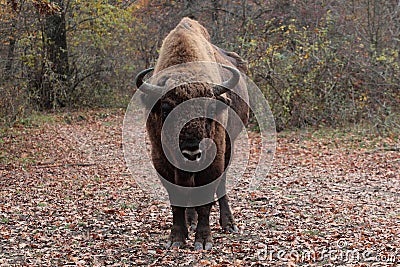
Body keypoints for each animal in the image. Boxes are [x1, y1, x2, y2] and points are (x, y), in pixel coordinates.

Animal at [135, 17, 247, 251]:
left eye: (210, 108)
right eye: (166, 108)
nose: (192, 151)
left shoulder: (214, 158)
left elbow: (206, 197)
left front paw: (203, 240)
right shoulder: (161, 160)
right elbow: (177, 198)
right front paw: (177, 238)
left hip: (229, 147)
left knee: (221, 186)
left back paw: (229, 224)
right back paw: (191, 220)